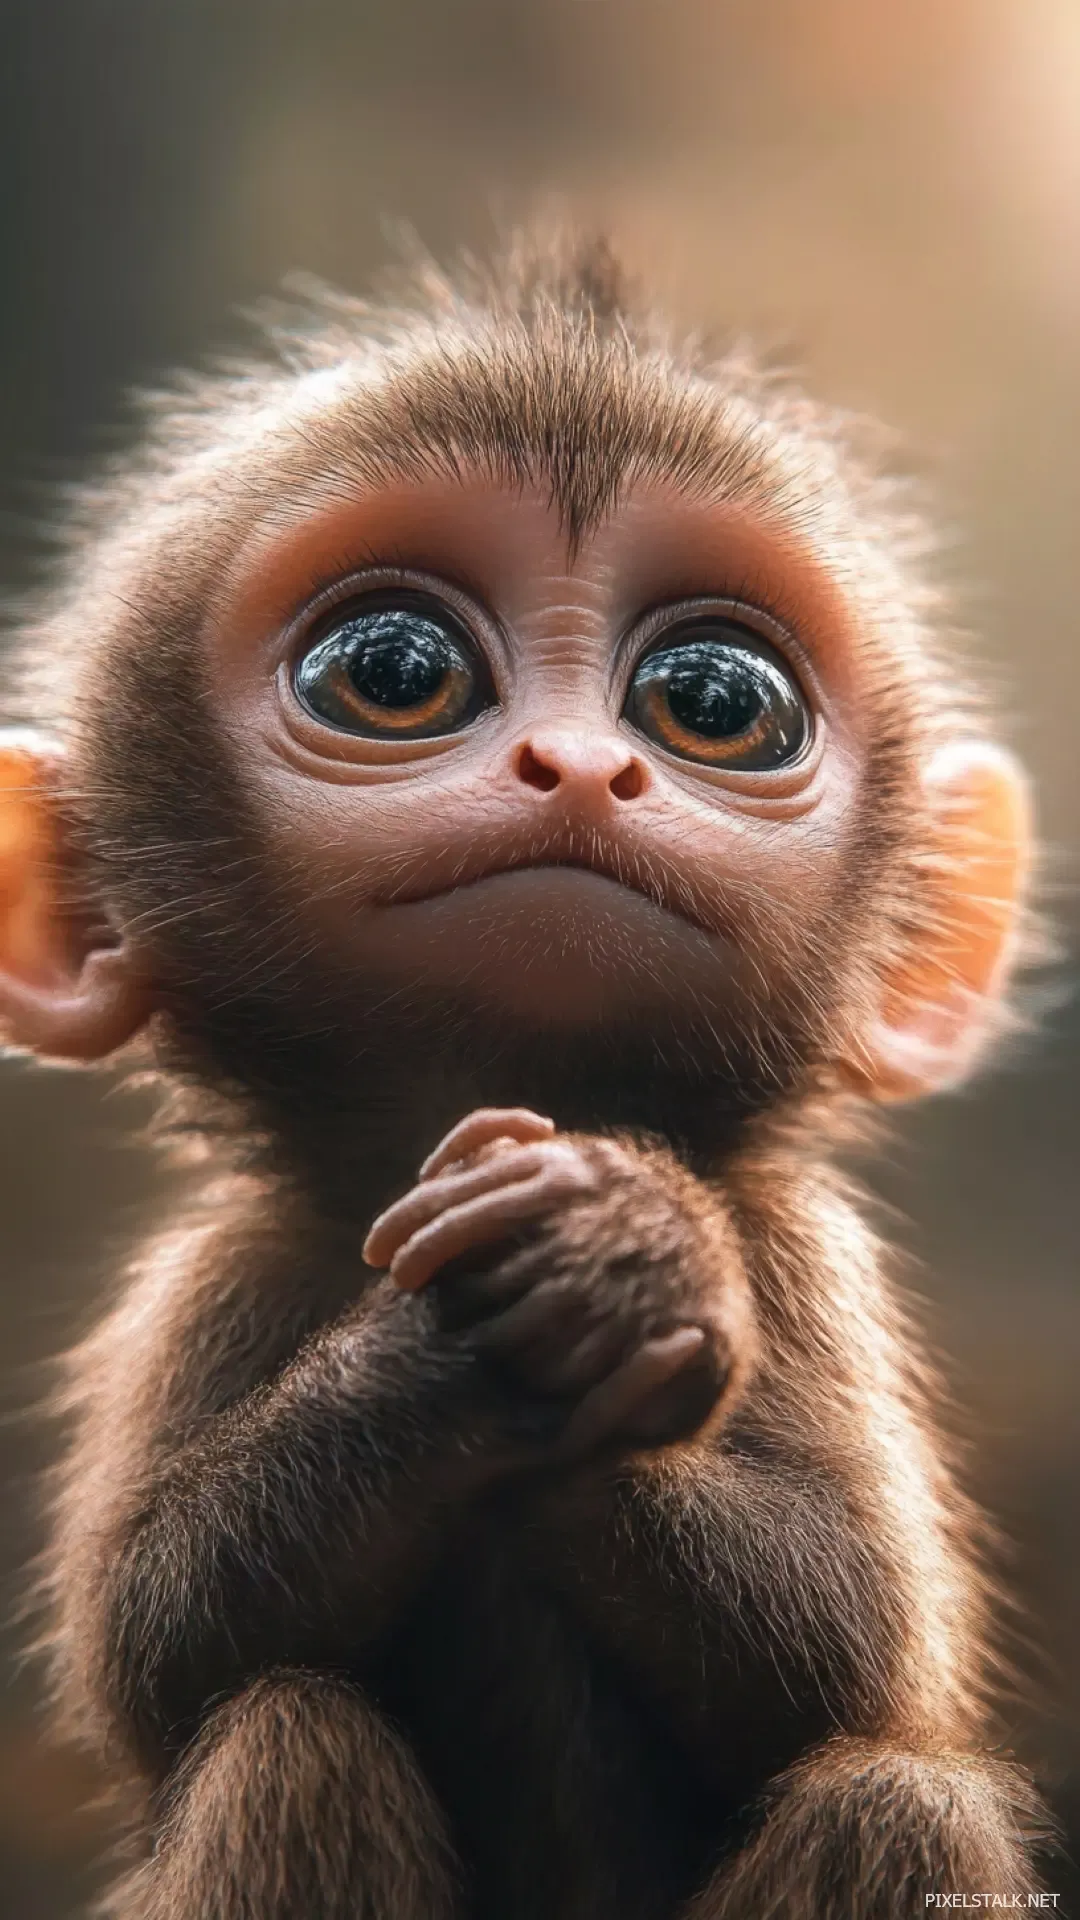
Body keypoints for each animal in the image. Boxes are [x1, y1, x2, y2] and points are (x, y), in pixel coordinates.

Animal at [0, 229, 1049, 1919]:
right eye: (393, 671)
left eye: (714, 701)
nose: (578, 767)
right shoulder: (228, 1261)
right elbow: (163, 1650)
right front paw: (465, 1344)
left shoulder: (807, 1251)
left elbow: (859, 1658)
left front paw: (620, 1251)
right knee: (287, 1735)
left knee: (896, 1801)